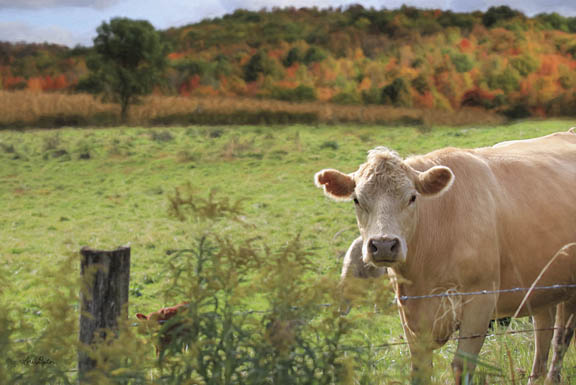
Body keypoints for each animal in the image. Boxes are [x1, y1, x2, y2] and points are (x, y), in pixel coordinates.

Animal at [316, 130, 576, 384]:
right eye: (357, 199)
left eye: (412, 197)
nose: (383, 245)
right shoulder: (409, 311)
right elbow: (420, 370)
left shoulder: (480, 300)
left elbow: (462, 366)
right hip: (541, 287)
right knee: (543, 332)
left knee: (560, 338)